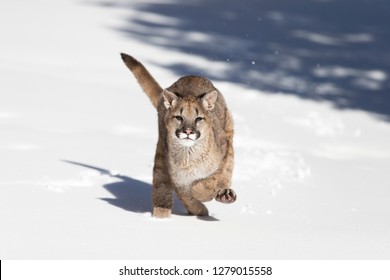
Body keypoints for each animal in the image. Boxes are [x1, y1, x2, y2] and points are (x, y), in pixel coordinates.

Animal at [119, 53, 235, 218]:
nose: (188, 131)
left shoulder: (222, 155)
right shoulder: (178, 181)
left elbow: (207, 181)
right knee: (161, 188)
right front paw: (200, 209)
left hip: (228, 130)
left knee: (227, 169)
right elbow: (187, 196)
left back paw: (225, 194)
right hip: (161, 156)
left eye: (198, 119)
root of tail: (192, 76)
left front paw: (205, 194)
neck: (189, 155)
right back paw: (160, 216)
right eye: (179, 118)